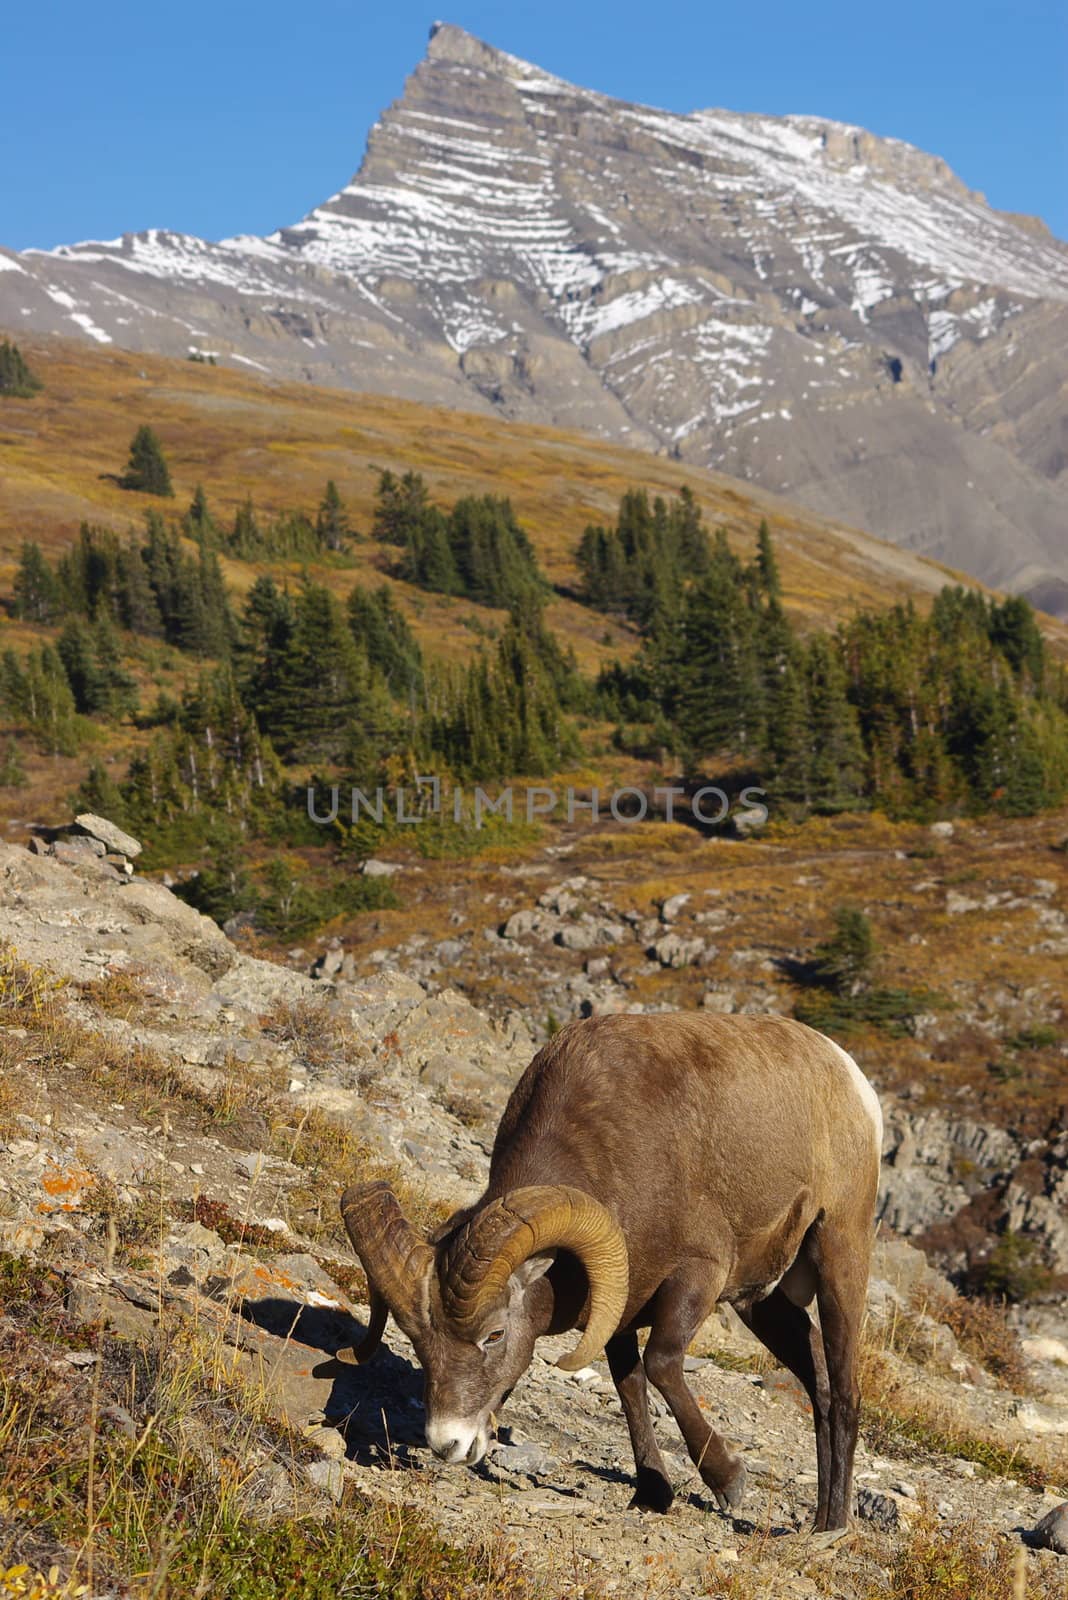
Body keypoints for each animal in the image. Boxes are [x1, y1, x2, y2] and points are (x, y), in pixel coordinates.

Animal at [337, 1011, 882, 1523]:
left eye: (494, 1334)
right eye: (417, 1340)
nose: (447, 1444)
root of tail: (852, 1078)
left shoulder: (697, 1276)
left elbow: (660, 1364)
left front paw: (729, 1481)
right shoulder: (620, 1301)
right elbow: (630, 1386)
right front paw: (652, 1494)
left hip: (839, 1253)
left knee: (845, 1387)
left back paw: (832, 1530)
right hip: (763, 1303)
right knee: (820, 1387)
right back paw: (819, 1522)